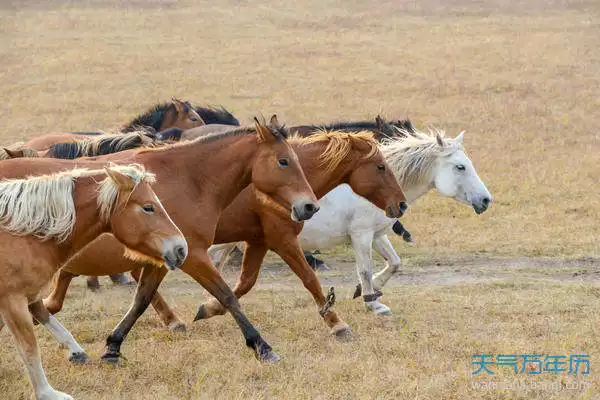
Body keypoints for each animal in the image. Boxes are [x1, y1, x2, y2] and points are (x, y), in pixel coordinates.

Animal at [0, 163, 188, 400]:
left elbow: (52, 322)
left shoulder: (29, 297)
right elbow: (29, 348)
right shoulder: (13, 301)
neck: (23, 235)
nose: (181, 249)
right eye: (148, 207)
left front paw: (77, 353)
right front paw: (48, 393)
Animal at [41, 115, 318, 362]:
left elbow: (141, 300)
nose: (309, 206)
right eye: (283, 161)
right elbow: (227, 296)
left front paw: (113, 347)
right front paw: (262, 347)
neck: (191, 180)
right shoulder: (193, 256)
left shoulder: (162, 260)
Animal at [209, 126, 490, 314]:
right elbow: (365, 268)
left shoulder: (377, 235)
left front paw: (368, 291)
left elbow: (394, 263)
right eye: (460, 167)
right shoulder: (361, 235)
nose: (487, 200)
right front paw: (373, 303)